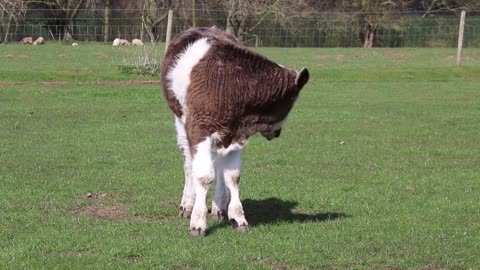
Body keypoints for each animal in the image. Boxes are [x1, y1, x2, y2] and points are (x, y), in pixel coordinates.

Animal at [161, 26, 310, 235]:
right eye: (291, 103)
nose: (277, 133)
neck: (232, 83)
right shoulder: (199, 128)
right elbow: (203, 176)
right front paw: (197, 221)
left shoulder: (237, 134)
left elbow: (232, 176)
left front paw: (238, 217)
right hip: (181, 120)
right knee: (188, 162)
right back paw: (187, 204)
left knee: (218, 164)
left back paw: (218, 205)